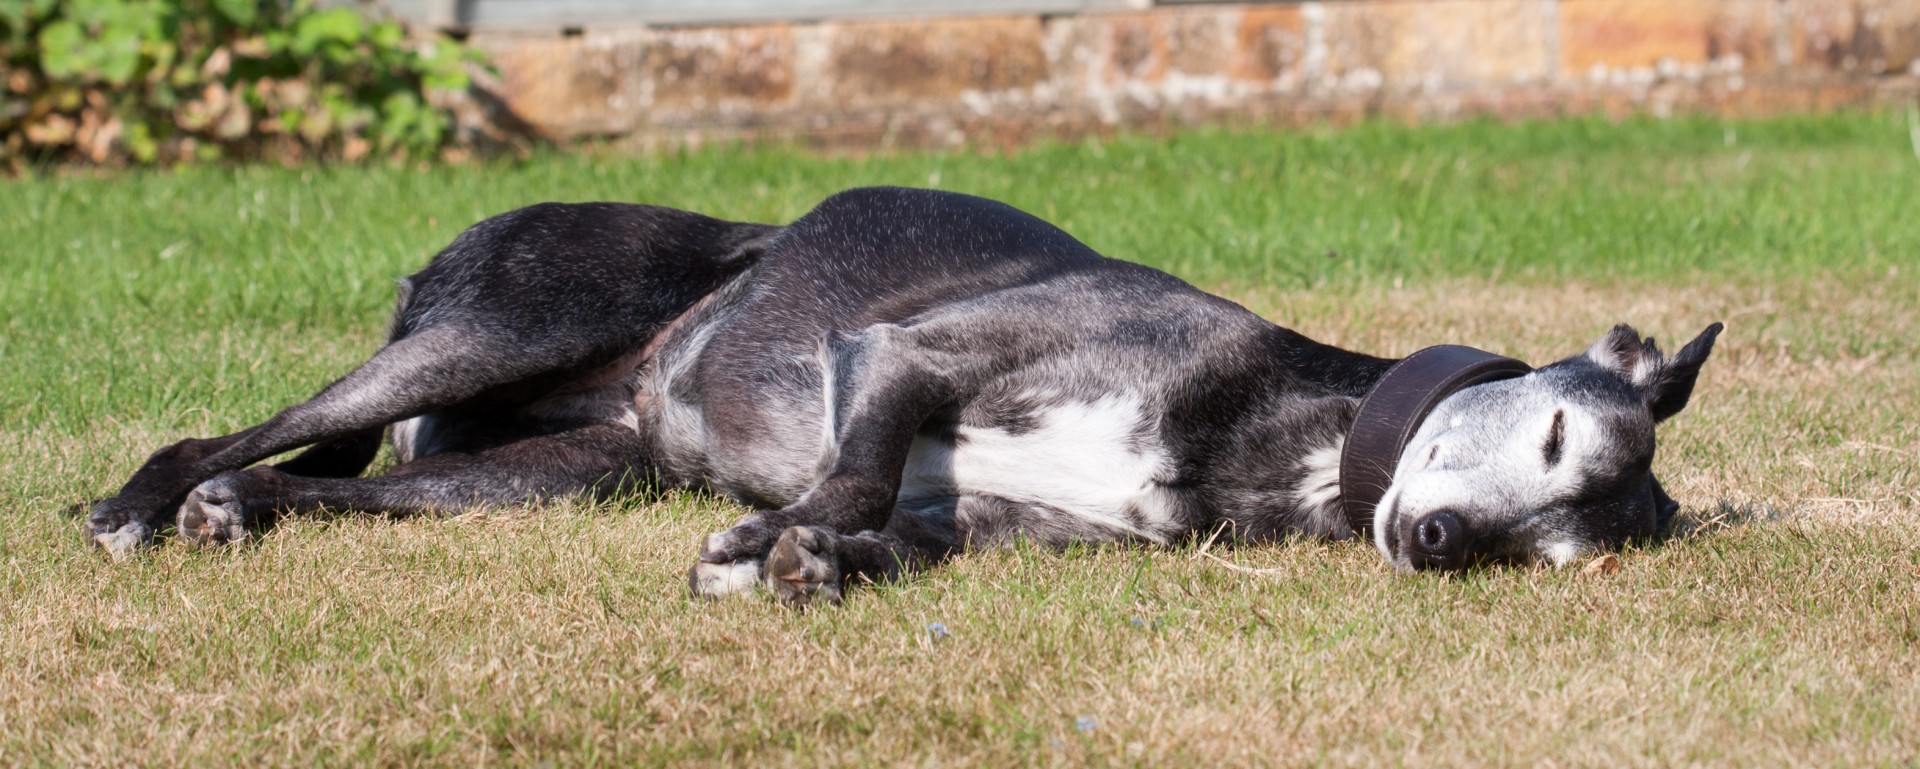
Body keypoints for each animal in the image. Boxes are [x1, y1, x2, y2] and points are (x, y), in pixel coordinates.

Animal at [78, 186, 1728, 605]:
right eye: (1556, 430)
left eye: (1559, 550)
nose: (1441, 542)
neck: (1276, 434)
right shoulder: (898, 361)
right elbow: (860, 461)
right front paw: (774, 542)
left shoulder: (1001, 528)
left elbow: (894, 533)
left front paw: (815, 557)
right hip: (496, 325)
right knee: (225, 428)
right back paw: (143, 500)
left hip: (557, 467)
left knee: (315, 477)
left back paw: (234, 511)